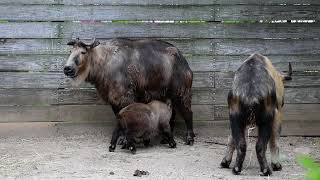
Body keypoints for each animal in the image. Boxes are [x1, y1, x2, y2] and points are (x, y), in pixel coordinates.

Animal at [64, 38, 194, 145]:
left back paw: (190, 138)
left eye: (83, 52)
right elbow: (119, 117)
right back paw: (166, 139)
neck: (105, 61)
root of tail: (183, 60)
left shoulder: (125, 97)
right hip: (166, 95)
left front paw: (124, 140)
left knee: (188, 113)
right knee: (171, 114)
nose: (67, 69)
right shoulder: (114, 99)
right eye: (70, 52)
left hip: (182, 93)